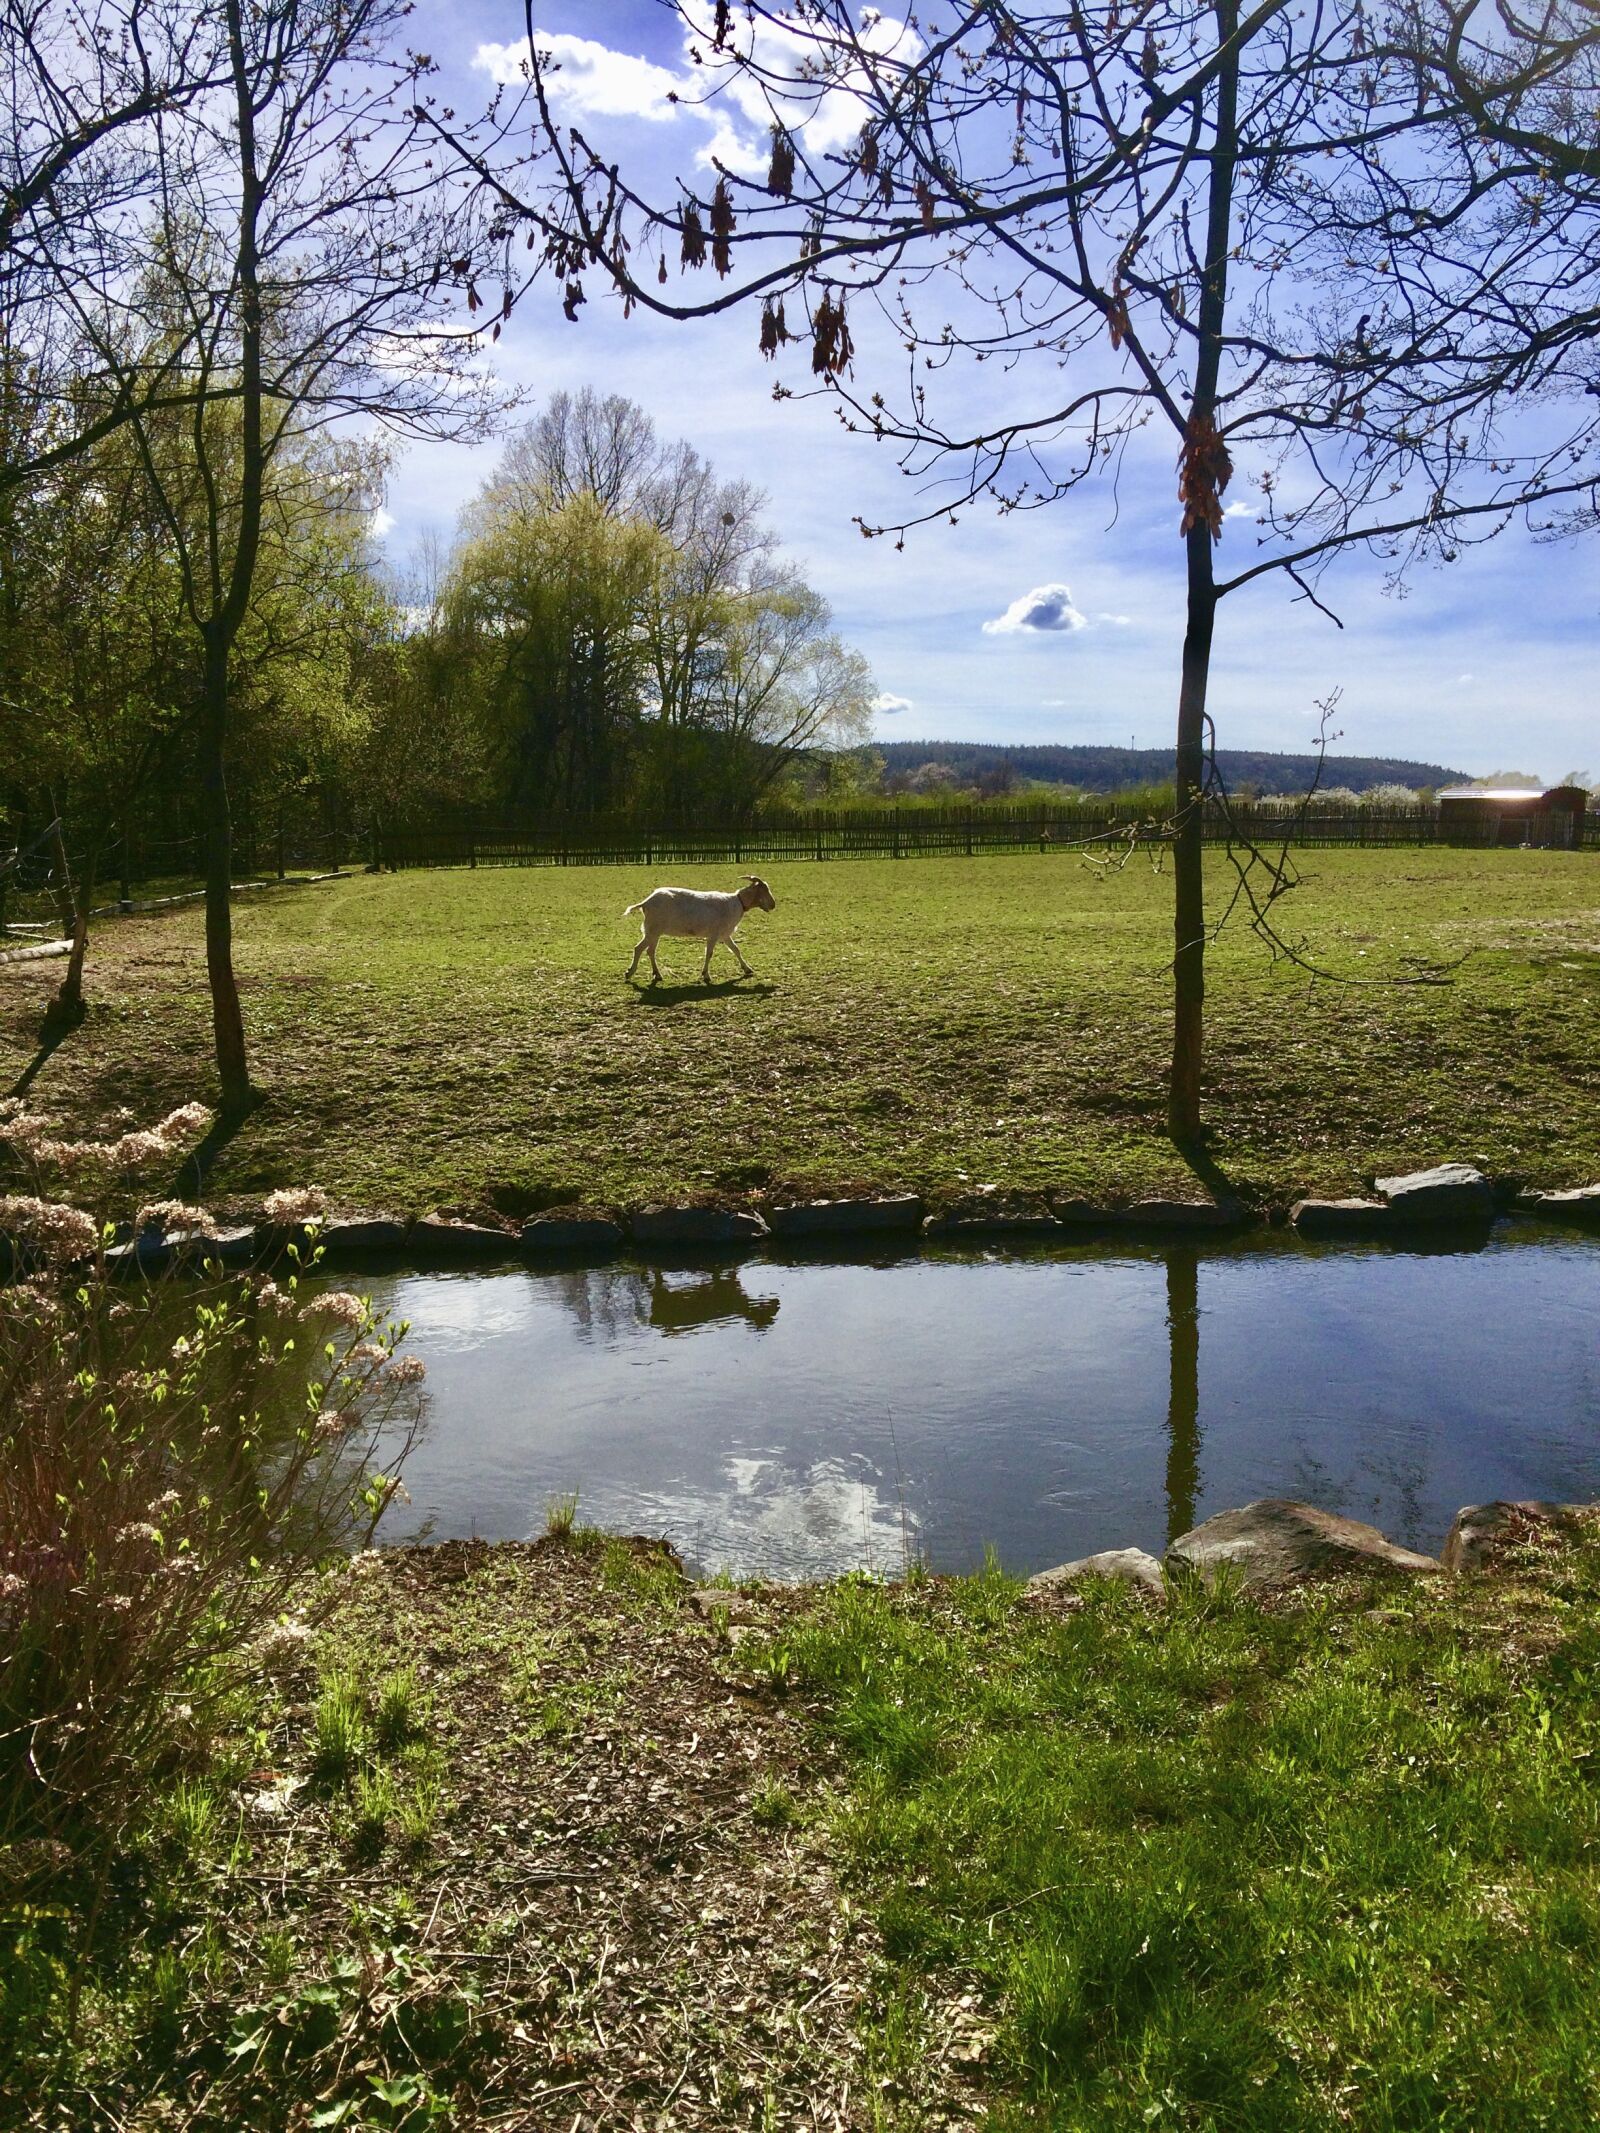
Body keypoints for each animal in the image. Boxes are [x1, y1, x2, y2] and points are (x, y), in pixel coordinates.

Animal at [623, 876, 777, 985]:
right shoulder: (714, 934)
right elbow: (709, 953)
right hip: (652, 930)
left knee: (650, 951)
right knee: (639, 948)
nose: (773, 905)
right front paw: (706, 975)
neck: (738, 902)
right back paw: (630, 973)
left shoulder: (725, 934)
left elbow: (736, 950)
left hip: (654, 932)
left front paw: (747, 969)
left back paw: (657, 974)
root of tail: (645, 903)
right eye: (765, 889)